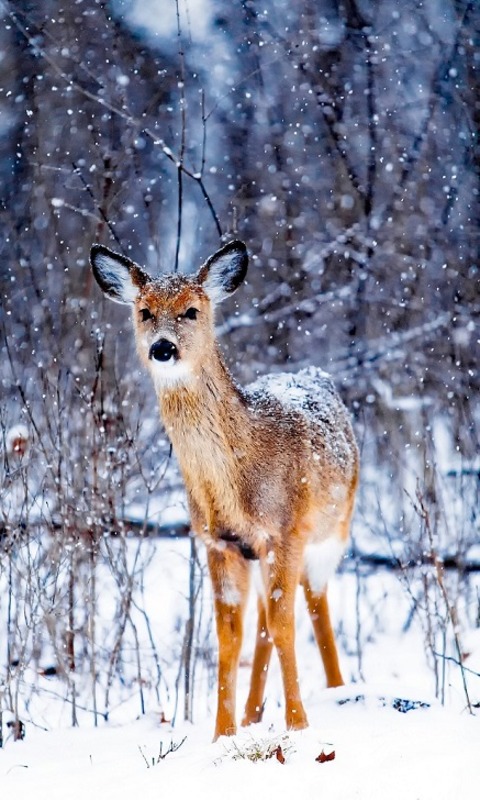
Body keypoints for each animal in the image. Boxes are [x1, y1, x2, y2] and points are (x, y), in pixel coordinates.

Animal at [92, 241, 358, 740]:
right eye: (144, 311)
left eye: (192, 311)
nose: (162, 347)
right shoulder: (219, 543)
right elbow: (229, 637)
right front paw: (223, 733)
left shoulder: (286, 530)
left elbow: (286, 625)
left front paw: (299, 725)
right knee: (264, 621)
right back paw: (254, 713)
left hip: (333, 530)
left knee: (314, 604)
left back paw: (337, 689)